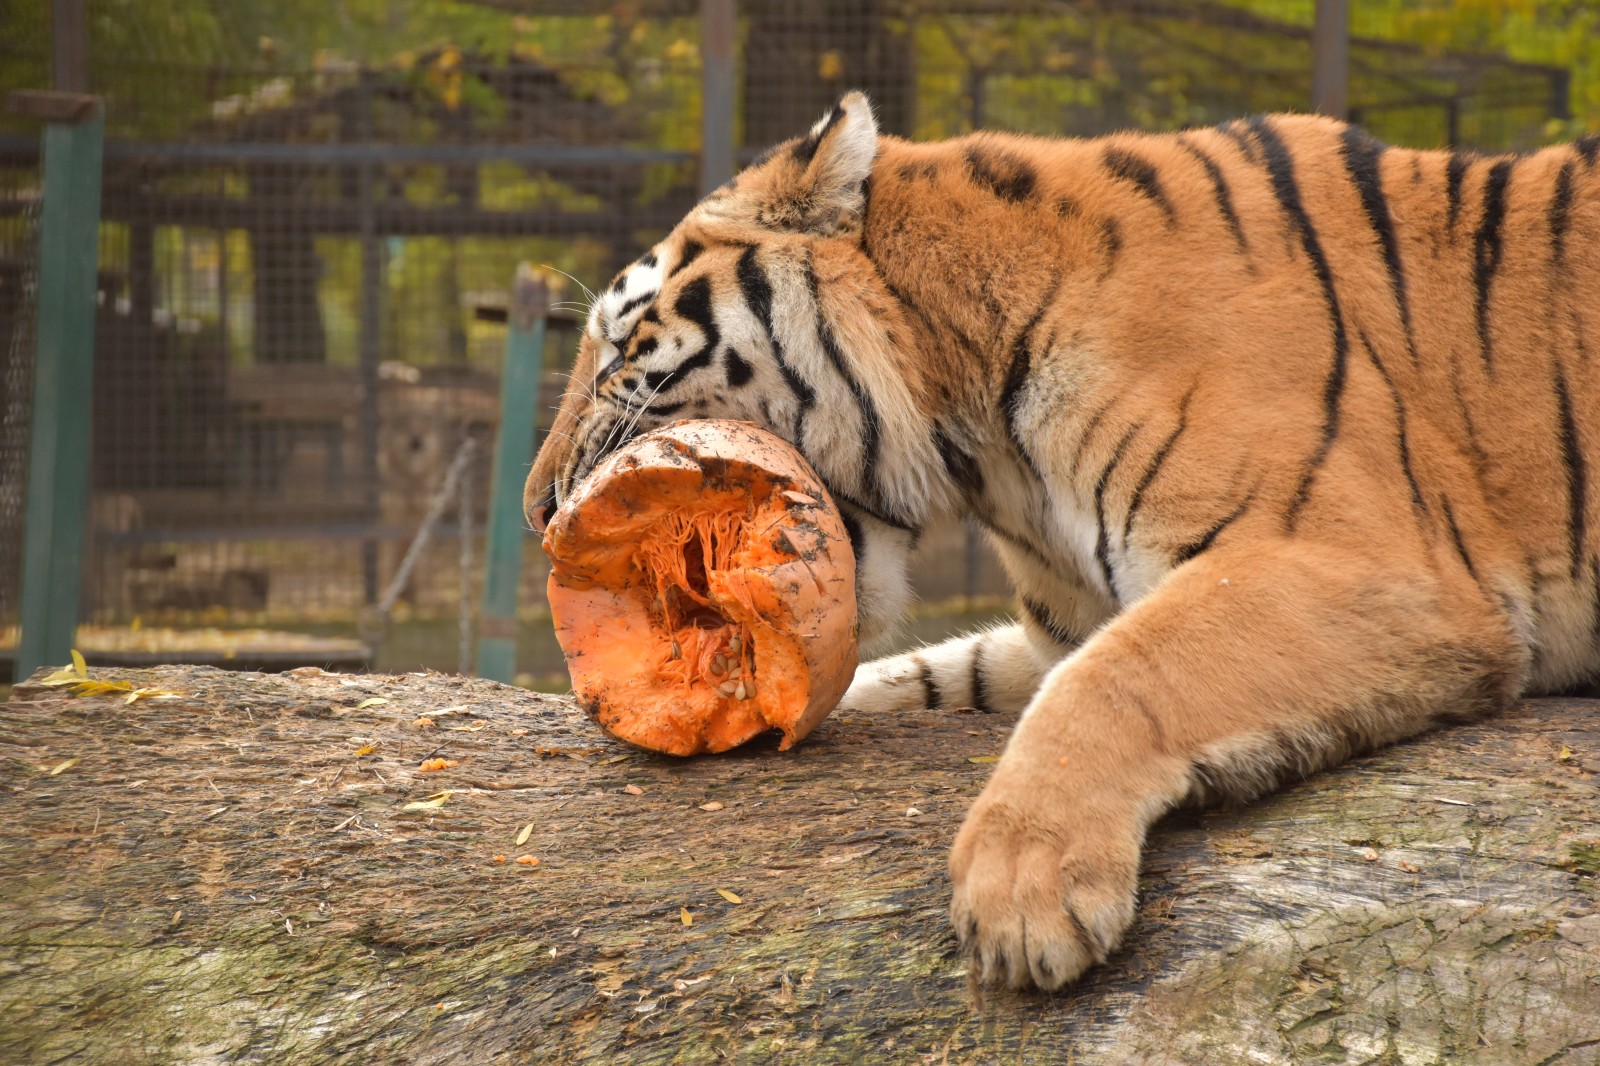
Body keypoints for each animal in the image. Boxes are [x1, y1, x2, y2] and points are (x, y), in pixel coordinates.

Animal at [528, 91, 1600, 985]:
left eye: (621, 349)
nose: (538, 510)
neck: (989, 445)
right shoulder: (1060, 628)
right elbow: (934, 674)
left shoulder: (1359, 561)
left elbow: (1125, 673)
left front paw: (1022, 889)